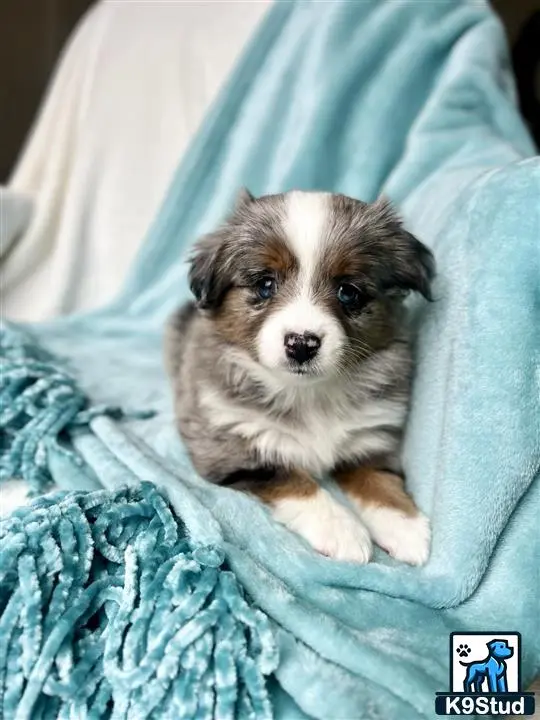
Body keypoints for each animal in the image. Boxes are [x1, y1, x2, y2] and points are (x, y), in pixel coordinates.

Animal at [165, 188, 434, 564]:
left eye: (348, 291)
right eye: (265, 284)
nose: (301, 344)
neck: (309, 392)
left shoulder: (370, 438)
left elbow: (378, 479)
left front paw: (403, 524)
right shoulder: (232, 448)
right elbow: (297, 481)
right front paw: (342, 530)